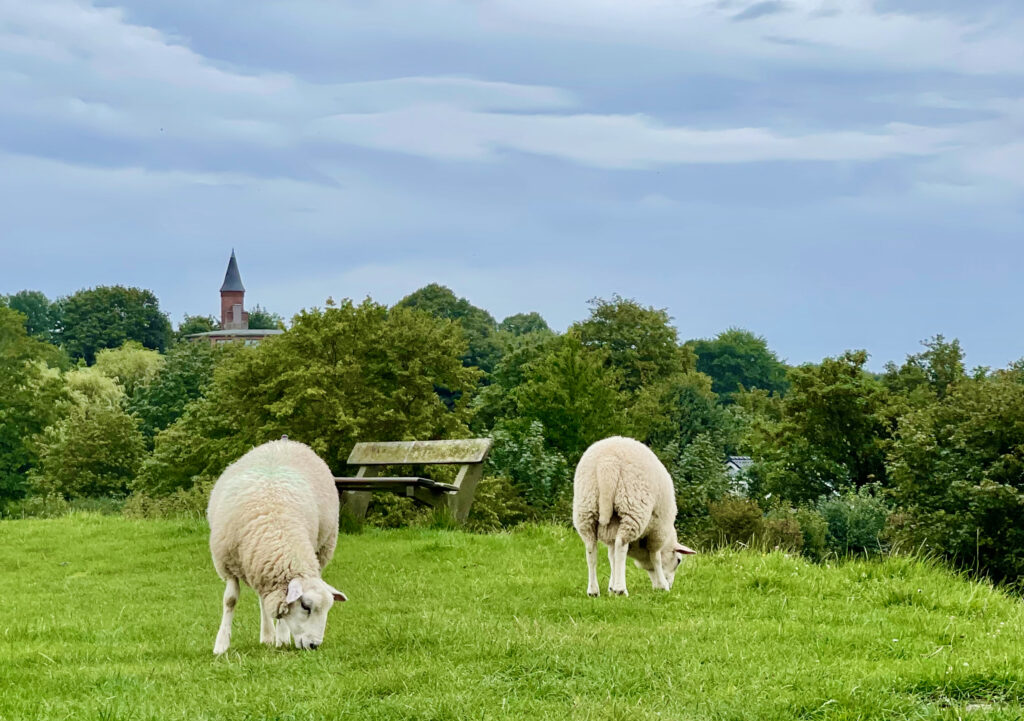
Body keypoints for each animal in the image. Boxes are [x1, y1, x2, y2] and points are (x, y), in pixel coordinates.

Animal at [205, 436, 346, 655]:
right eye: (306, 606)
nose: (314, 645)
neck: (276, 528)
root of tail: (286, 441)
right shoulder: (227, 564)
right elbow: (230, 600)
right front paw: (221, 645)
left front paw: (282, 638)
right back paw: (267, 636)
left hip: (322, 548)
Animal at [569, 434, 696, 598]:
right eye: (678, 560)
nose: (671, 585)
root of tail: (607, 462)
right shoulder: (658, 531)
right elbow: (655, 557)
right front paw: (662, 586)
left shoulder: (612, 531)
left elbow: (612, 557)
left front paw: (611, 587)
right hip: (633, 507)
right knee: (621, 545)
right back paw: (621, 590)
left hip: (586, 507)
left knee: (591, 549)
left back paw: (593, 590)